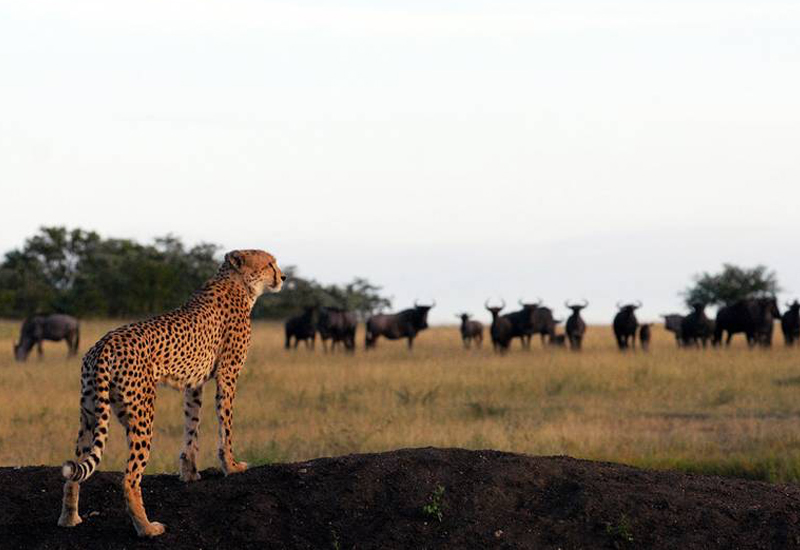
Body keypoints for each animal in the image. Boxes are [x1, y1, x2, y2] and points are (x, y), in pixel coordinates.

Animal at [56, 251, 282, 540]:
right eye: (269, 263)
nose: (282, 276)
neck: (238, 283)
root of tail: (105, 343)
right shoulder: (227, 375)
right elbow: (226, 425)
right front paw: (231, 466)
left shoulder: (194, 384)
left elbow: (192, 427)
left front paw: (190, 473)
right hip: (142, 414)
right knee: (129, 478)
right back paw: (147, 528)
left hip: (90, 413)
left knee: (75, 470)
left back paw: (69, 518)